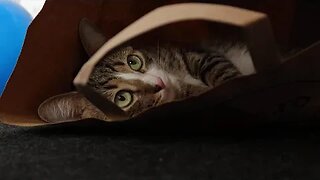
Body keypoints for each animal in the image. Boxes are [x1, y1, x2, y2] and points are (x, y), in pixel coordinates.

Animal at [38, 19, 252, 123]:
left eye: (133, 62)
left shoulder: (193, 51)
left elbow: (215, 67)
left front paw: (236, 81)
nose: (159, 83)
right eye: (122, 98)